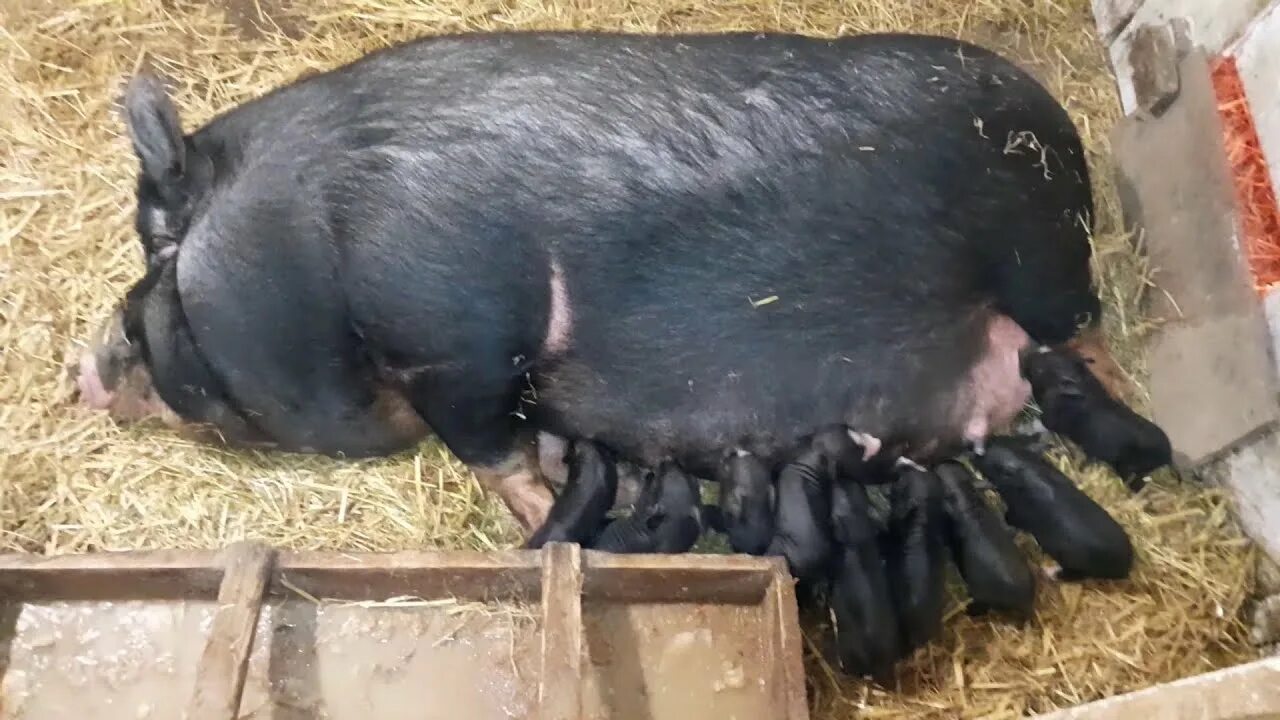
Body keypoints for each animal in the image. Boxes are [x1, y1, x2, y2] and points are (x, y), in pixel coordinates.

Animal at [970, 437, 1134, 581]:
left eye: (988, 458)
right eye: (1003, 439)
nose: (976, 446)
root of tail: (1126, 566)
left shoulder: (1018, 513)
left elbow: (1008, 519)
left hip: (1077, 566)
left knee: (1072, 576)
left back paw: (1047, 572)